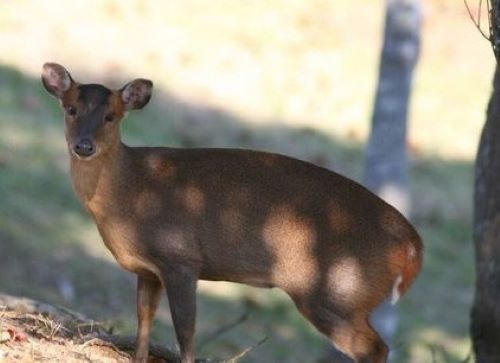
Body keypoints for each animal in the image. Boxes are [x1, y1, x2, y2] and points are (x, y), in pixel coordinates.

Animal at [41, 63, 422, 363]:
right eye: (71, 109)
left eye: (111, 116)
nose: (84, 146)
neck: (130, 192)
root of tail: (413, 245)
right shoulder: (148, 269)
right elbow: (144, 323)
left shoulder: (180, 258)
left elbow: (186, 331)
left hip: (338, 290)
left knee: (375, 348)